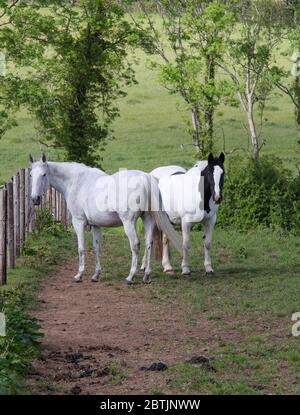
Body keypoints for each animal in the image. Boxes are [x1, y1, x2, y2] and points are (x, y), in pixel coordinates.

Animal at [29, 154, 182, 284]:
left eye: (44, 174)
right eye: (30, 175)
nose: (35, 199)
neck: (76, 182)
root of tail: (145, 178)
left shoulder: (78, 222)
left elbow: (81, 248)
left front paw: (79, 275)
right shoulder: (96, 225)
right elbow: (96, 248)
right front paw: (96, 275)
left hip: (128, 223)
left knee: (135, 245)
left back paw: (130, 277)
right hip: (148, 220)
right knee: (149, 244)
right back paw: (147, 276)